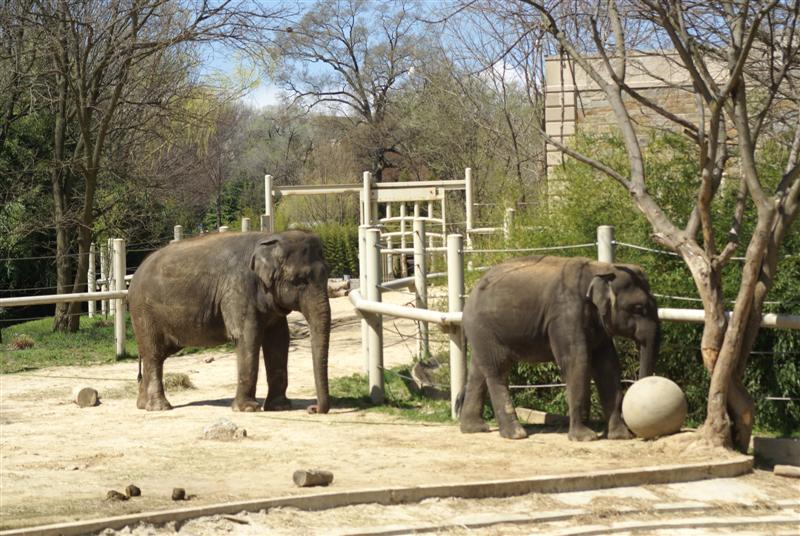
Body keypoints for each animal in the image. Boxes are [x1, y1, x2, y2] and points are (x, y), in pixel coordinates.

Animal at [127, 230, 331, 414]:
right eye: (299, 280)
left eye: (327, 275)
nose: (312, 409)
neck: (268, 238)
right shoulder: (238, 289)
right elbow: (248, 337)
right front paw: (248, 409)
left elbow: (279, 340)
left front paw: (280, 407)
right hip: (143, 312)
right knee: (153, 354)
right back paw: (159, 407)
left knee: (156, 354)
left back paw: (142, 405)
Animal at [457, 255, 660, 442]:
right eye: (639, 308)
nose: (640, 434)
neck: (599, 268)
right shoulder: (565, 313)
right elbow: (577, 362)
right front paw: (585, 438)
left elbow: (608, 366)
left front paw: (620, 436)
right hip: (484, 328)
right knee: (498, 370)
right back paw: (516, 434)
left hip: (481, 333)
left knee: (478, 371)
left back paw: (474, 428)